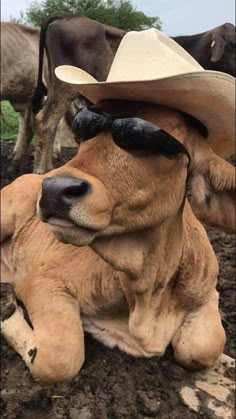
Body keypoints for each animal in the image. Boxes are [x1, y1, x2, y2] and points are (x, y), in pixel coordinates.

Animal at [1, 98, 234, 384]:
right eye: (84, 130)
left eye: (146, 142)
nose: (54, 189)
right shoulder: (42, 280)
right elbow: (59, 357)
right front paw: (9, 311)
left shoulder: (208, 291)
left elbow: (205, 346)